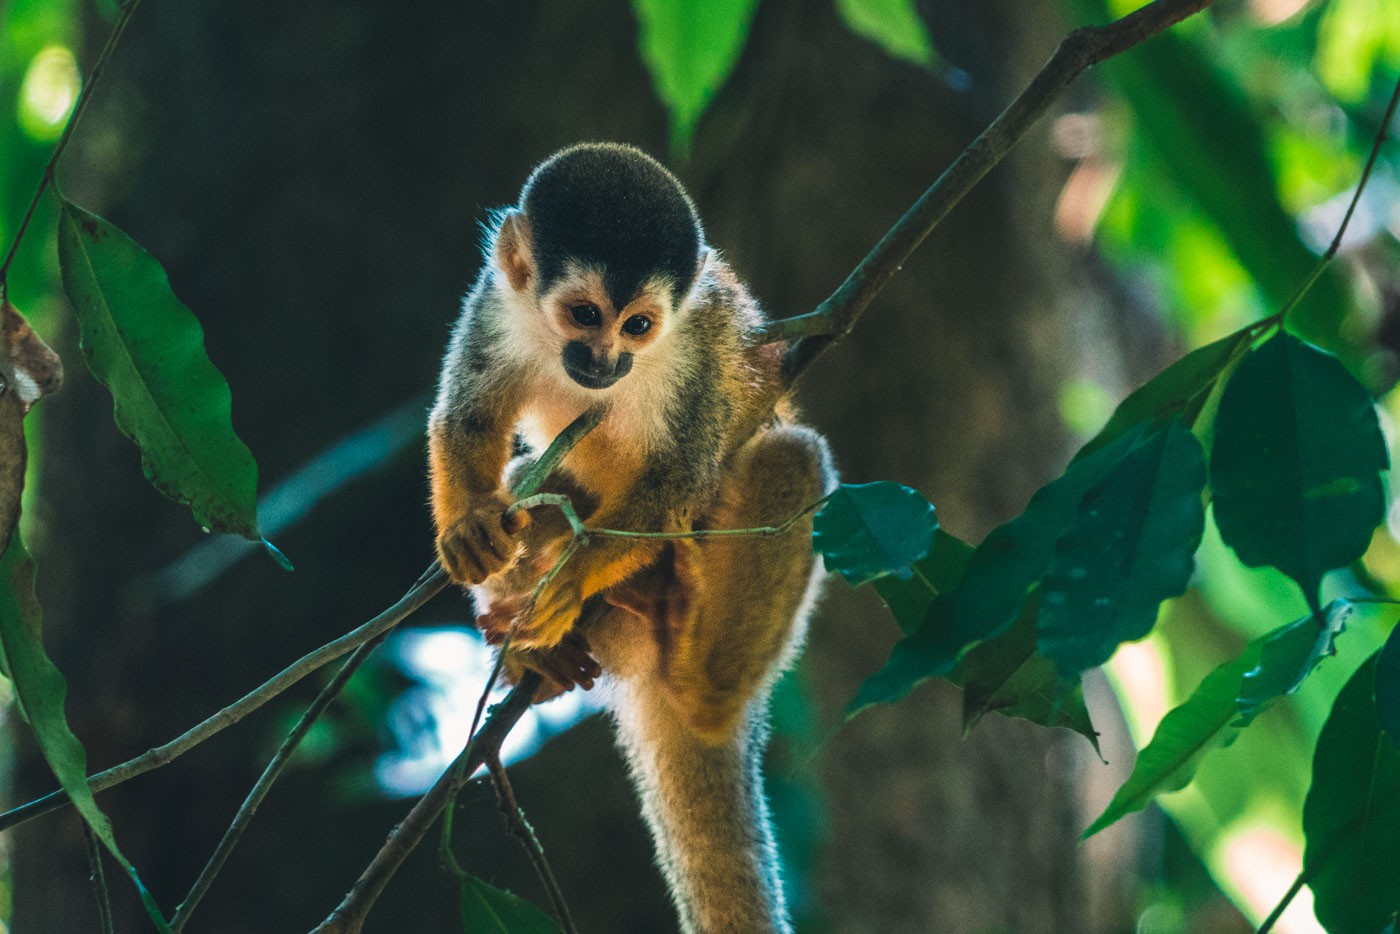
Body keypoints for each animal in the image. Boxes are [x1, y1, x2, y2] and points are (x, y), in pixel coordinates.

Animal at [428, 142, 828, 929]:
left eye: (638, 326)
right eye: (584, 314)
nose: (604, 360)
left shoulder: (697, 355)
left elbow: (679, 478)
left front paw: (572, 577)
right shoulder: (493, 301)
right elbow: (467, 417)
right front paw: (467, 527)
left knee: (791, 456)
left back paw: (702, 686)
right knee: (528, 490)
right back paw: (539, 654)